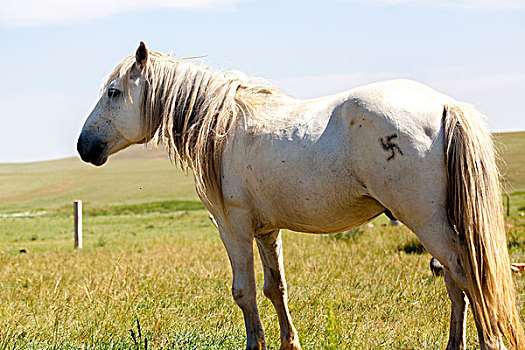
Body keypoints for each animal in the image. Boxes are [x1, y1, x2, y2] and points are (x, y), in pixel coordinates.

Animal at [75, 42, 520, 348]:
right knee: (456, 282)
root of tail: (446, 106)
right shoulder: (265, 231)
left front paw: (256, 344)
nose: (83, 146)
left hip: (426, 221)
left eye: (113, 92)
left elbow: (244, 292)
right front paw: (289, 342)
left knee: (468, 276)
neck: (223, 127)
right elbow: (276, 289)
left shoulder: (233, 227)